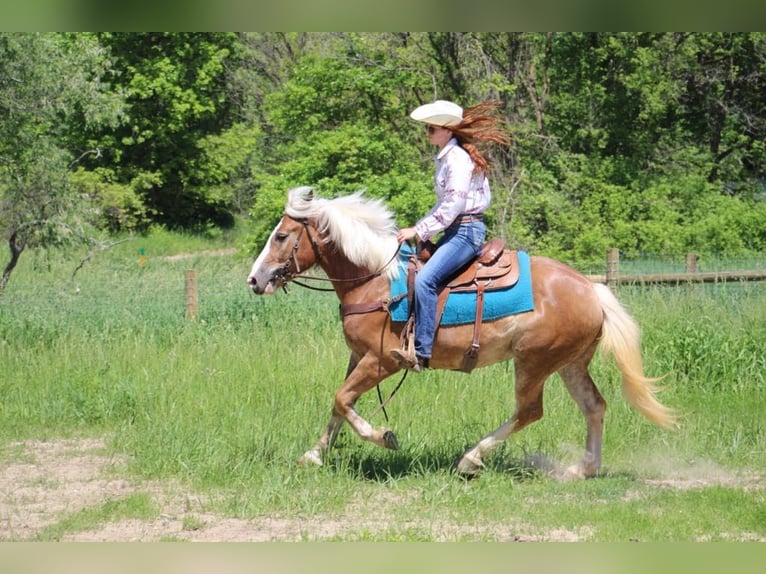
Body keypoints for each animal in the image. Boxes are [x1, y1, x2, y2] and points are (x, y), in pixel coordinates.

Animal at [249, 187, 676, 480]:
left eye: (282, 236)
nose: (255, 280)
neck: (375, 280)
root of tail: (591, 289)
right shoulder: (358, 357)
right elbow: (339, 406)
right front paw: (314, 455)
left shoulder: (383, 360)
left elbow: (342, 399)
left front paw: (384, 435)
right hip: (570, 363)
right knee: (594, 406)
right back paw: (582, 470)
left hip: (534, 362)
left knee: (530, 411)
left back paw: (470, 459)